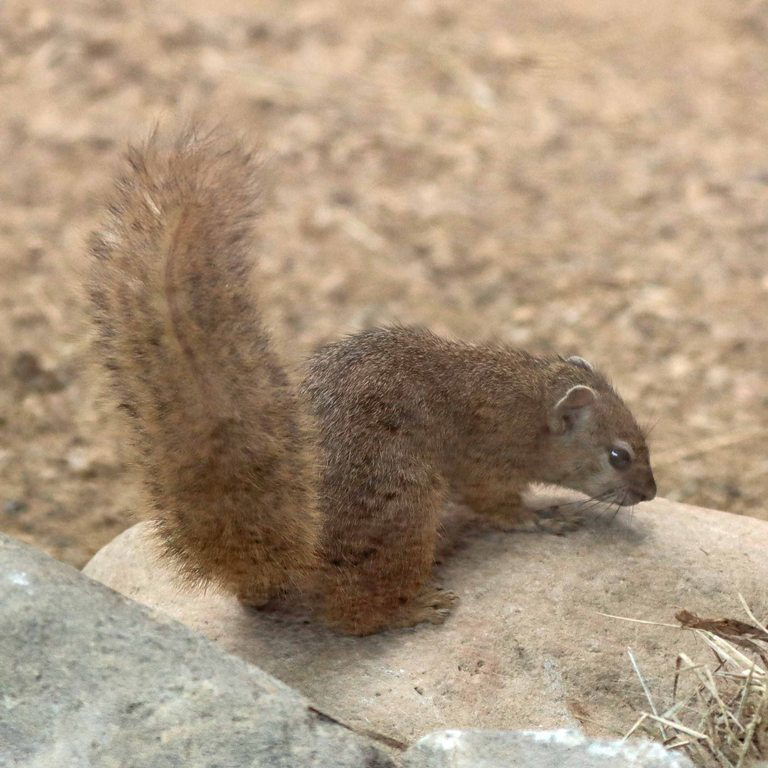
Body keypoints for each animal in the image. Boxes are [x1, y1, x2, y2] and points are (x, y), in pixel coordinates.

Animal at [87, 125, 657, 636]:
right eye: (618, 455)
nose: (651, 493)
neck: (520, 396)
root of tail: (292, 560)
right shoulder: (485, 463)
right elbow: (501, 507)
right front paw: (545, 518)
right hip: (408, 508)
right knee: (355, 617)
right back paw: (415, 610)